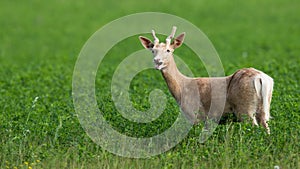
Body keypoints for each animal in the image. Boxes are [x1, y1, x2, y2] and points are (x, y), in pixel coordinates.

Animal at [139, 26, 274, 133]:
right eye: (153, 50)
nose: (157, 62)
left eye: (168, 50)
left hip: (245, 108)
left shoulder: (195, 114)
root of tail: (260, 78)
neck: (182, 88)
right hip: (264, 107)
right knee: (266, 128)